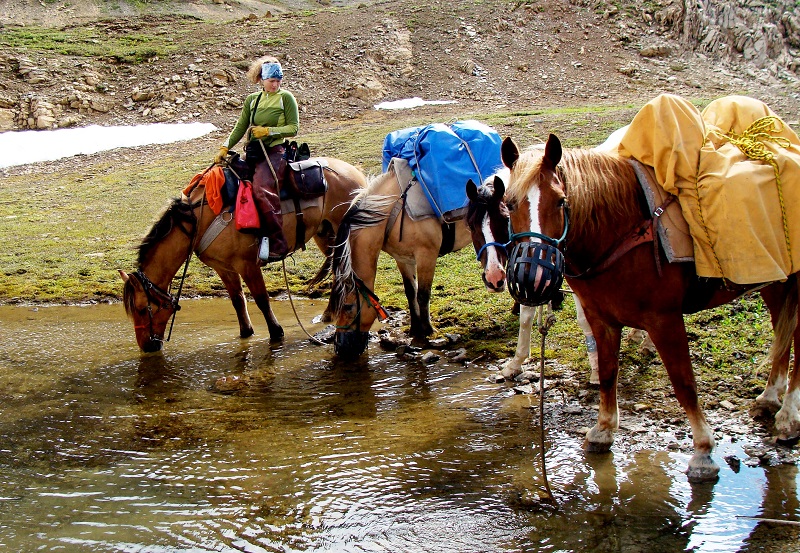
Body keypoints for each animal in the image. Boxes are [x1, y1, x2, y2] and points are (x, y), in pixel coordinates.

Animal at [121, 157, 367, 353]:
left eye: (142, 309)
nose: (146, 346)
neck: (198, 220)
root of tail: (356, 172)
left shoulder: (247, 264)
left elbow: (261, 299)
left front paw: (276, 333)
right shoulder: (223, 267)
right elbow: (238, 300)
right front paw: (246, 332)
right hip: (325, 235)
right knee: (336, 272)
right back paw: (327, 314)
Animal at [330, 169, 473, 358]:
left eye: (348, 307)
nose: (340, 348)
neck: (393, 212)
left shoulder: (426, 255)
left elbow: (423, 294)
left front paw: (427, 331)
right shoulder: (403, 259)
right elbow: (410, 292)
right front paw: (415, 329)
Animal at [499, 133, 800, 482]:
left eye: (561, 201)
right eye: (509, 203)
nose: (530, 275)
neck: (623, 230)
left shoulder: (664, 320)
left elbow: (684, 384)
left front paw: (703, 450)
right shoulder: (602, 320)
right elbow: (608, 374)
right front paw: (603, 430)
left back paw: (789, 414)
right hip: (776, 283)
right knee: (782, 335)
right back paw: (769, 397)